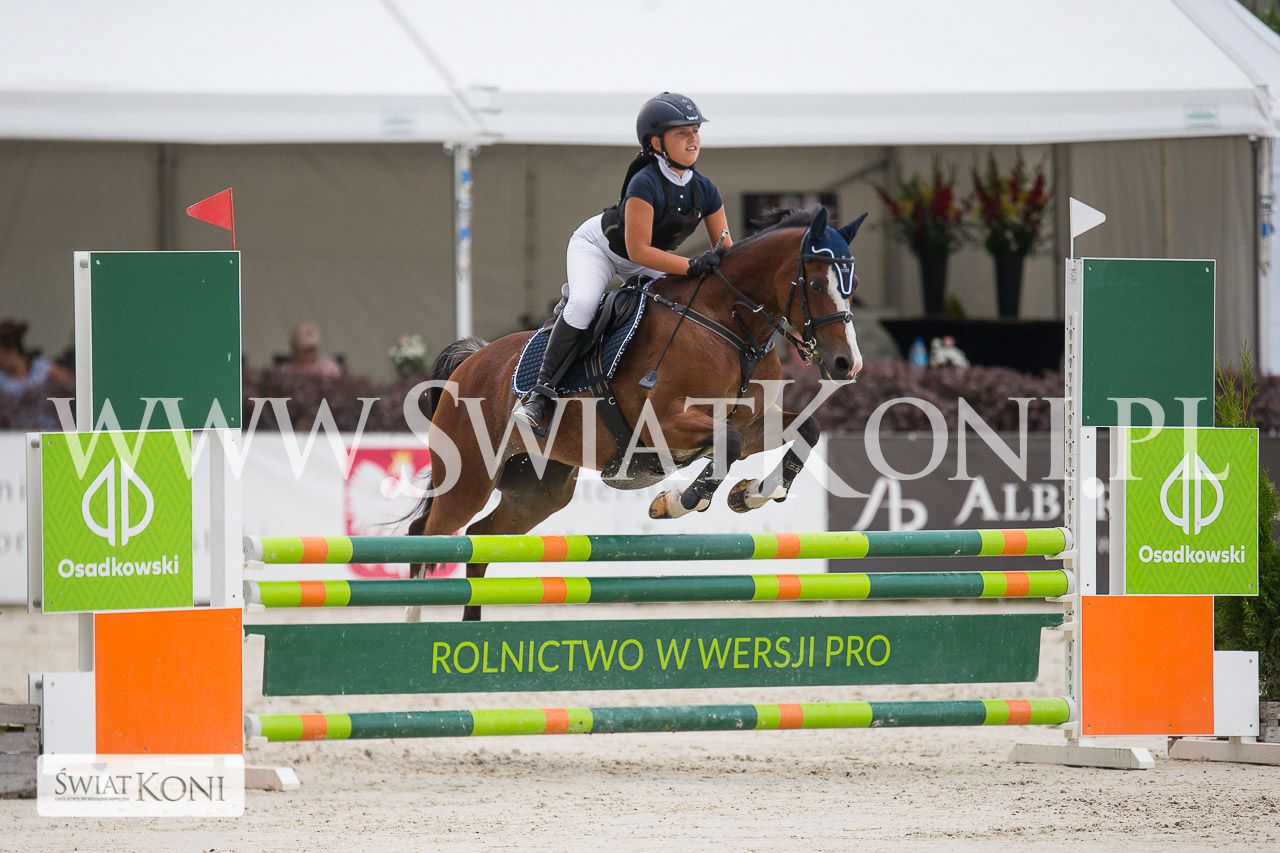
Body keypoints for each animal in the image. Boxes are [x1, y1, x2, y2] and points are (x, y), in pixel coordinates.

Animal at [406, 207, 866, 620]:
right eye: (818, 283)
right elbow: (727, 446)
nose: (848, 364)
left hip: (538, 491)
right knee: (426, 535)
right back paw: (414, 620)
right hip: (469, 477)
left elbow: (805, 429)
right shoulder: (666, 424)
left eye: (853, 283)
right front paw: (679, 502)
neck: (729, 324)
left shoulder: (750, 420)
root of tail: (473, 359)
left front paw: (749, 494)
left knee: (480, 539)